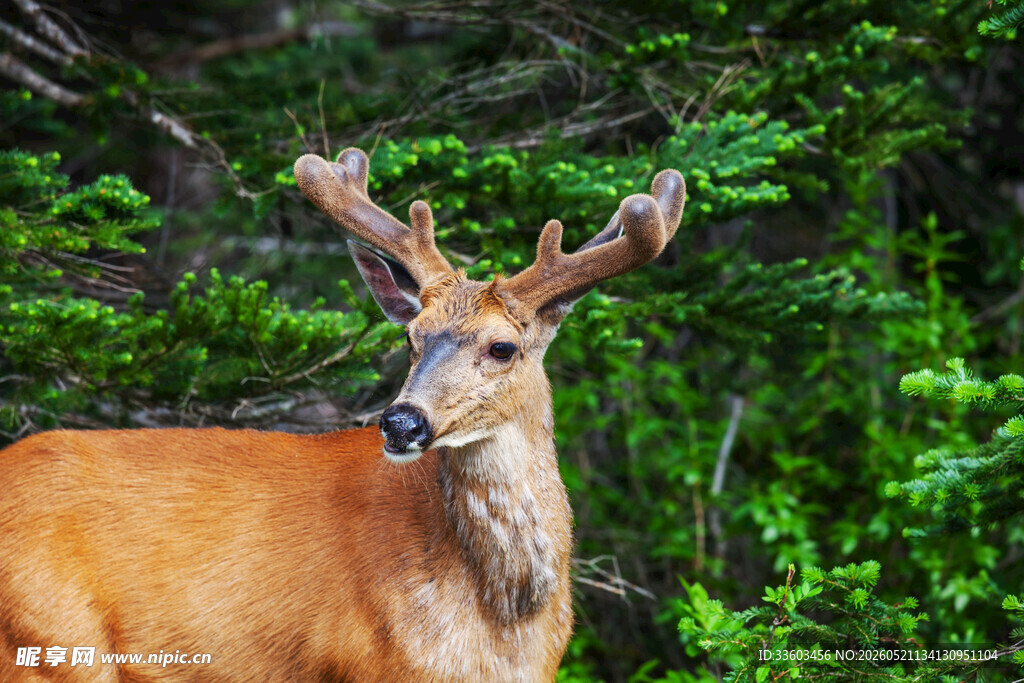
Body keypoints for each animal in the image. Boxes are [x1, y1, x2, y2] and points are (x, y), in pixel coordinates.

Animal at [0, 147, 685, 682]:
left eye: (502, 347)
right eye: (411, 337)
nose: (402, 423)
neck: (503, 624)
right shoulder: (364, 665)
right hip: (49, 644)